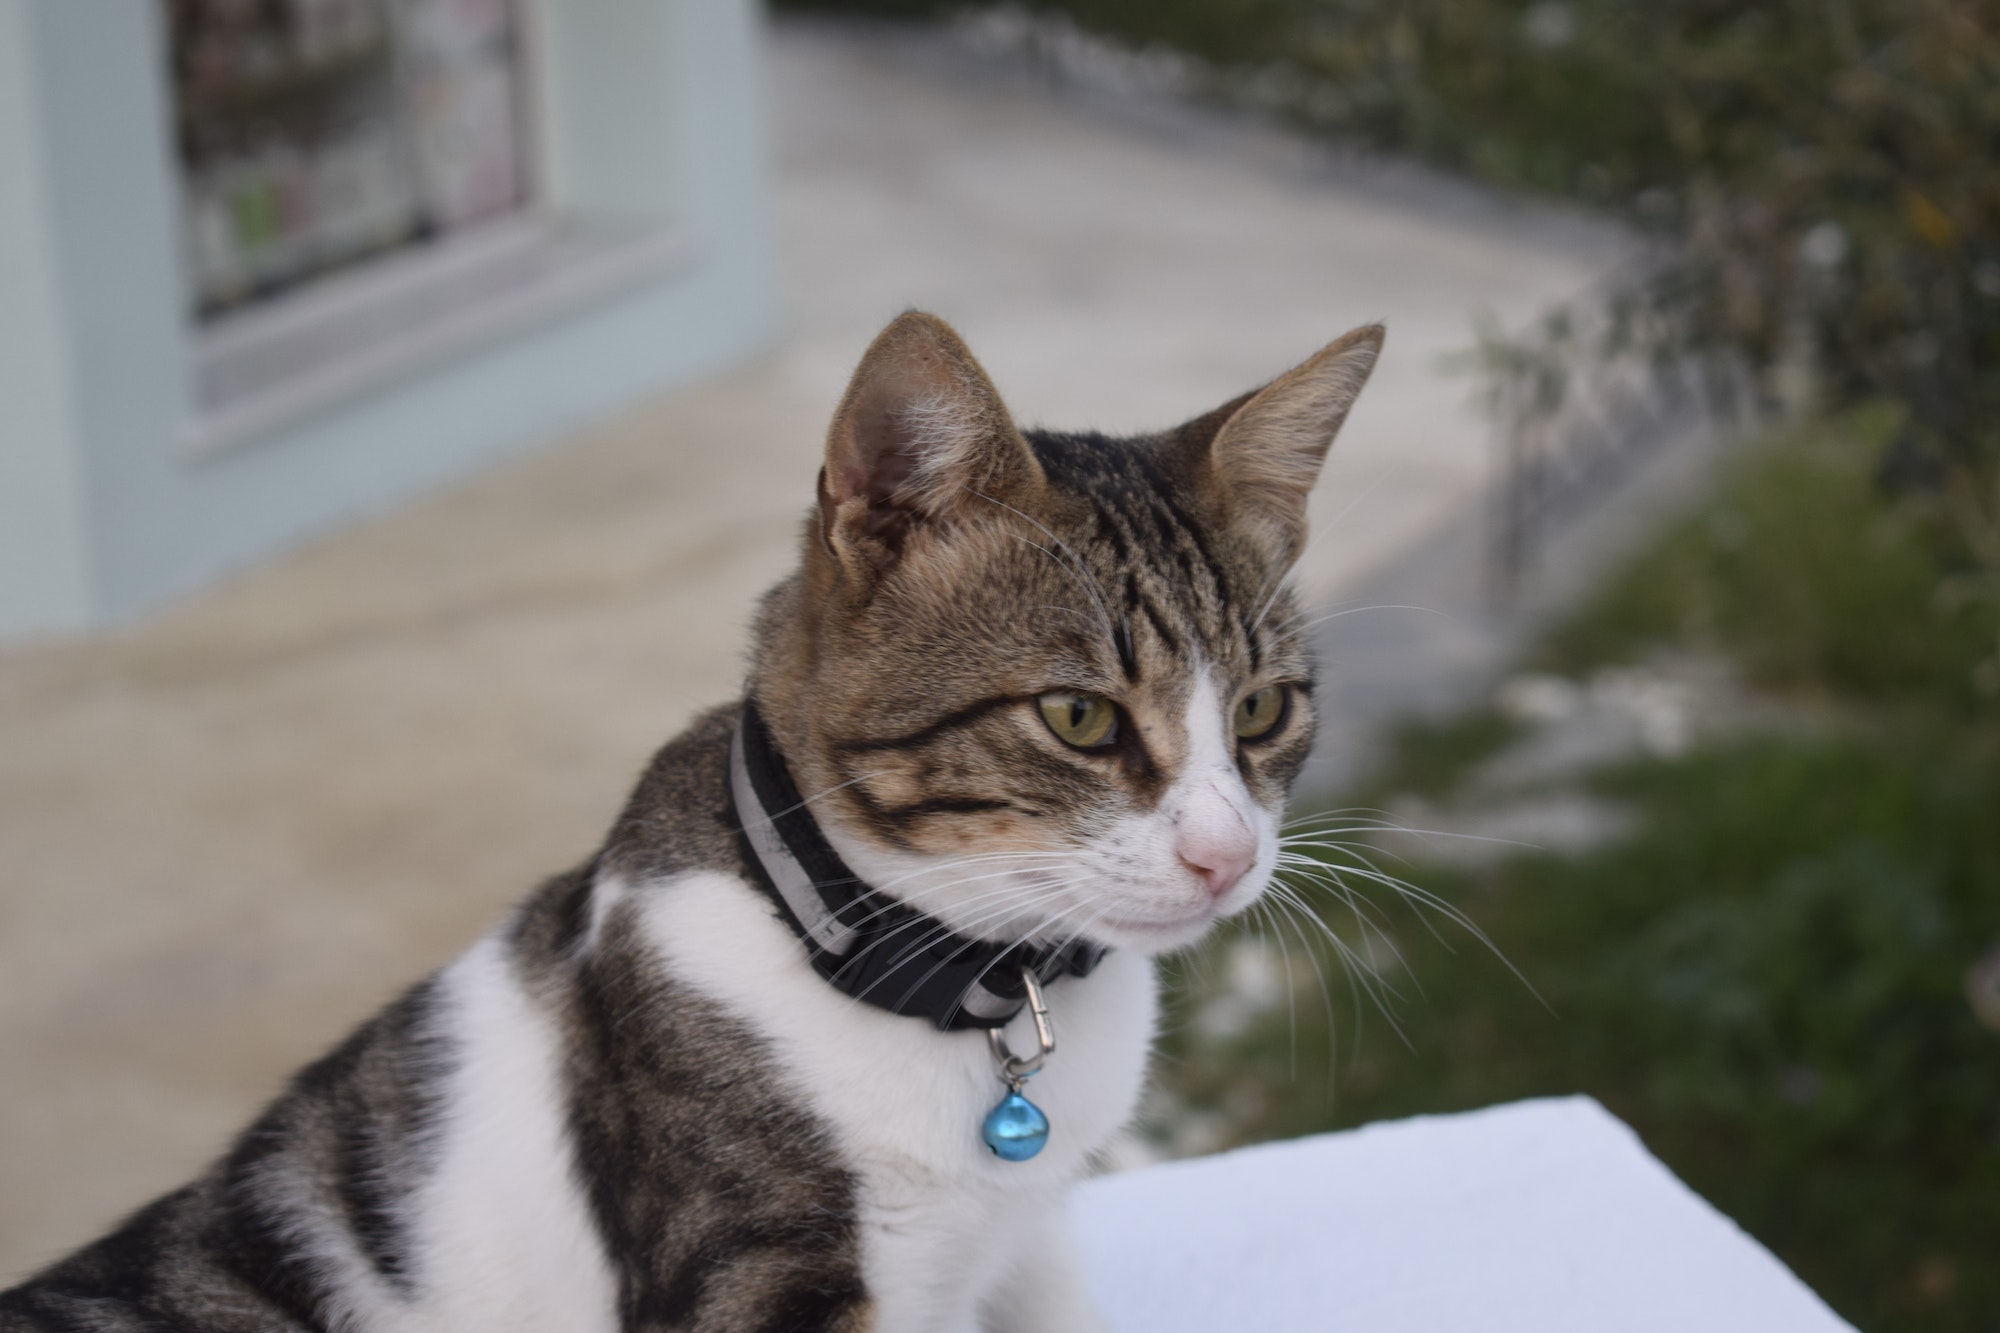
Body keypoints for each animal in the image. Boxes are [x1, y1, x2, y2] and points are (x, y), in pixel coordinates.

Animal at [0, 312, 1376, 1328]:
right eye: (1078, 716)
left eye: (1261, 709)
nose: (1226, 855)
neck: (943, 995)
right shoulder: (754, 1270)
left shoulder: (1023, 1251)